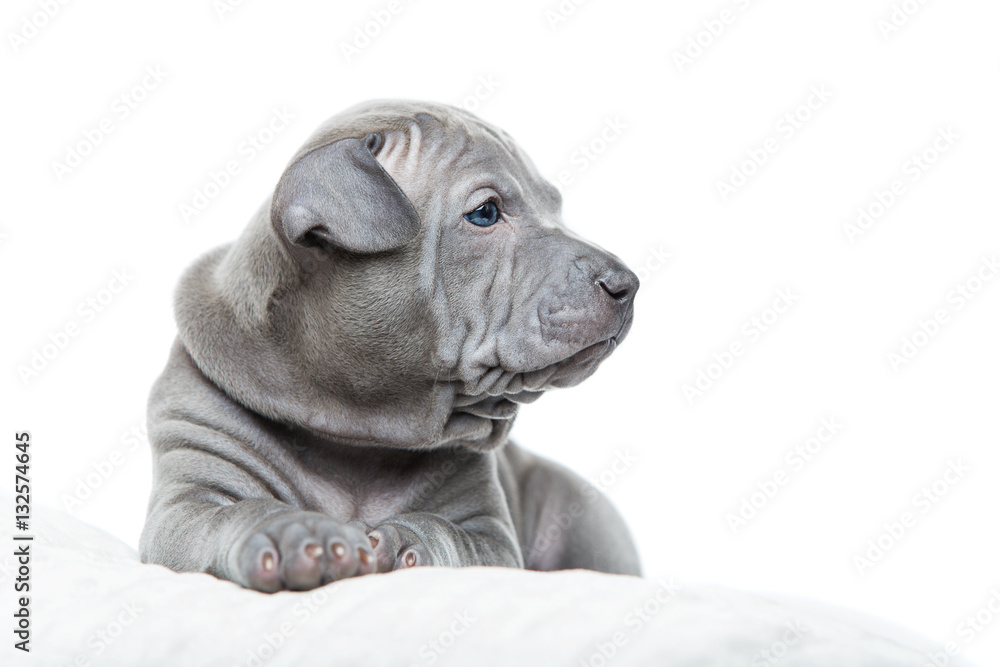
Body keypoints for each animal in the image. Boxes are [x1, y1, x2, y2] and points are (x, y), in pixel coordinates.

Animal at [141, 99, 640, 588]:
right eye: (485, 212)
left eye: (555, 206)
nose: (627, 284)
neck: (359, 431)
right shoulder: (187, 498)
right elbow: (232, 514)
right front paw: (292, 533)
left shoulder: (490, 534)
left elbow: (454, 535)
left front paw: (406, 539)